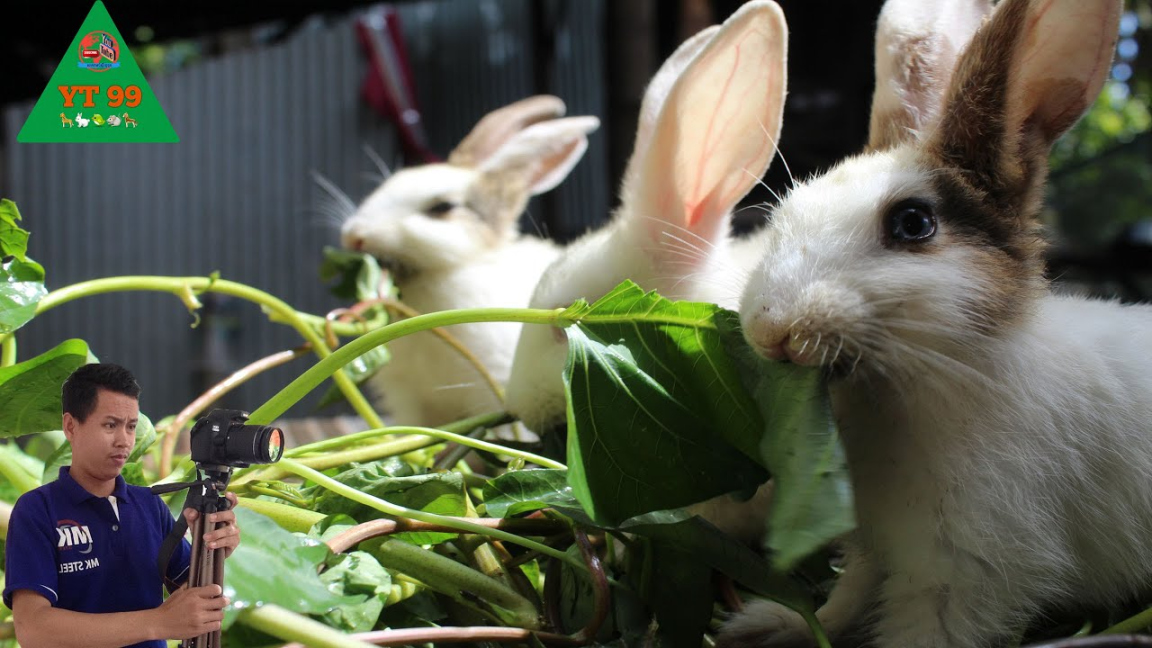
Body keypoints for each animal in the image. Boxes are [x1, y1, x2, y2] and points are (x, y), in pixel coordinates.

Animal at [728, 1, 1152, 645]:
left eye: (913, 223)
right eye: (789, 211)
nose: (770, 329)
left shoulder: (963, 574)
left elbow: (921, 629)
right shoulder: (875, 550)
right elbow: (846, 603)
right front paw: (770, 624)